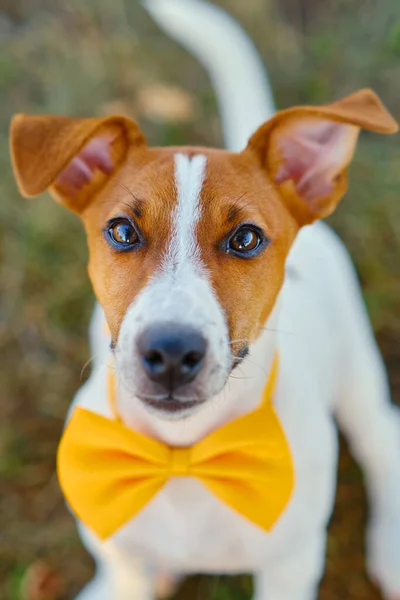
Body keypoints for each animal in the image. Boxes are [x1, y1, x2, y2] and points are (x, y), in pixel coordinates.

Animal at [8, 1, 400, 600]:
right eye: (122, 231)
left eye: (246, 239)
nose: (171, 352)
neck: (181, 455)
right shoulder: (115, 545)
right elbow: (126, 572)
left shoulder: (290, 565)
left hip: (357, 375)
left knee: (384, 444)